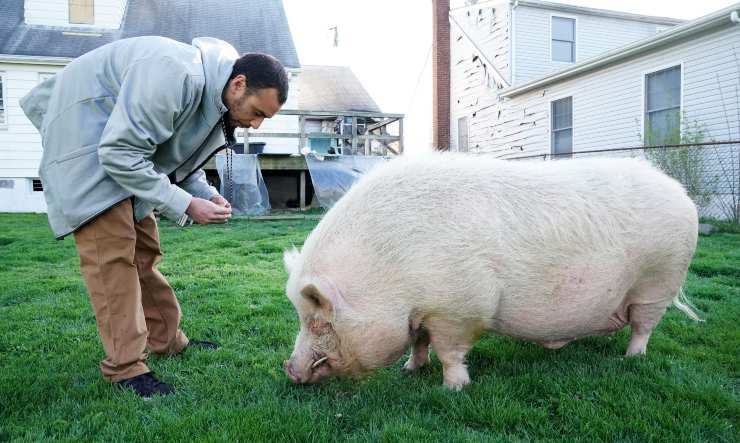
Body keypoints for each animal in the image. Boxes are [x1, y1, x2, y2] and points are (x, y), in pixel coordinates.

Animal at [280, 154, 696, 390]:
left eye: (318, 319)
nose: (289, 369)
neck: (387, 271)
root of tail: (683, 194)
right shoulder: (423, 311)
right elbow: (418, 342)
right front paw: (409, 371)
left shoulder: (459, 306)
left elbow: (449, 351)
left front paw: (453, 389)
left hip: (657, 282)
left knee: (644, 327)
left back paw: (631, 359)